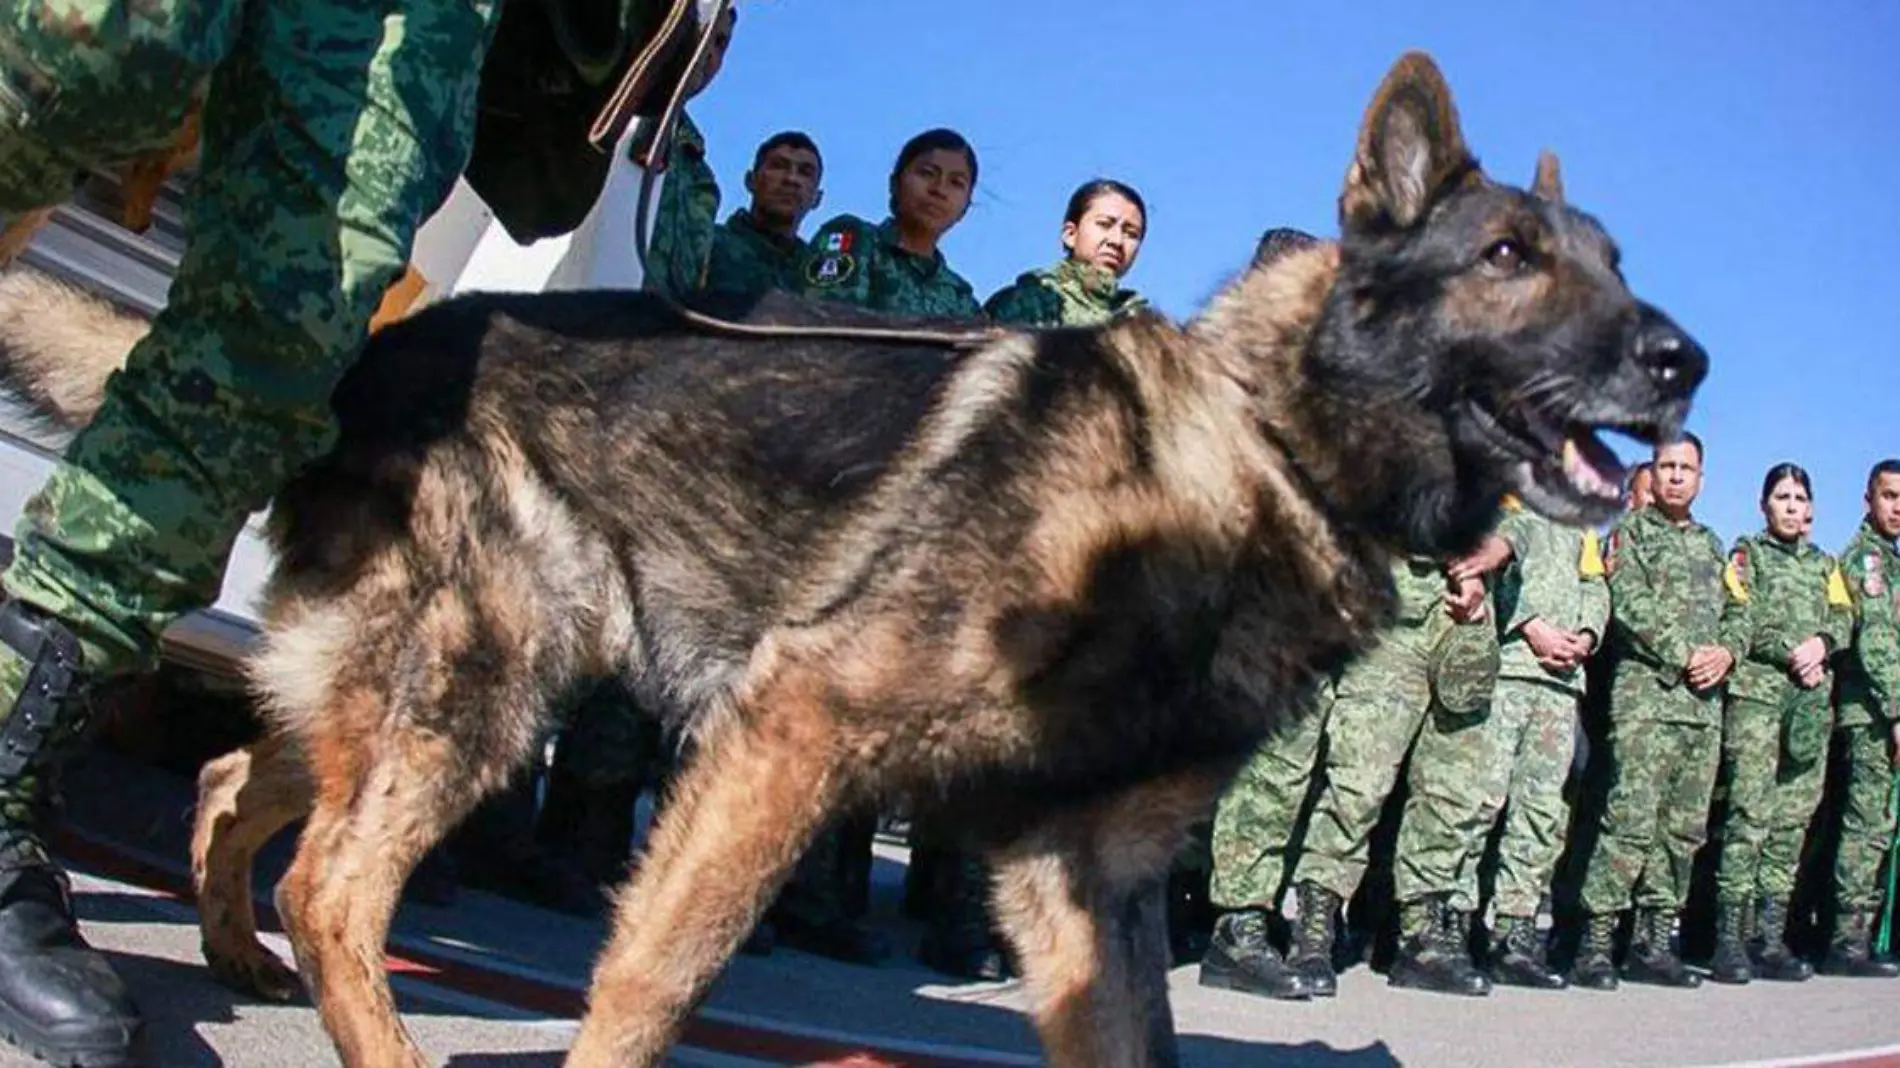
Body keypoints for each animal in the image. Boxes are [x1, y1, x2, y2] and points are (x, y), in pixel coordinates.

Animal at [0, 54, 1702, 1064]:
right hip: (491, 682)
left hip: (433, 680)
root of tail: (371, 358)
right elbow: (655, 974)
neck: (1260, 447)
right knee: (338, 880)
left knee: (243, 779)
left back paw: (238, 953)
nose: (1683, 360)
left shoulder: (1082, 882)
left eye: (1619, 268)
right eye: (1508, 259)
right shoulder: (792, 731)